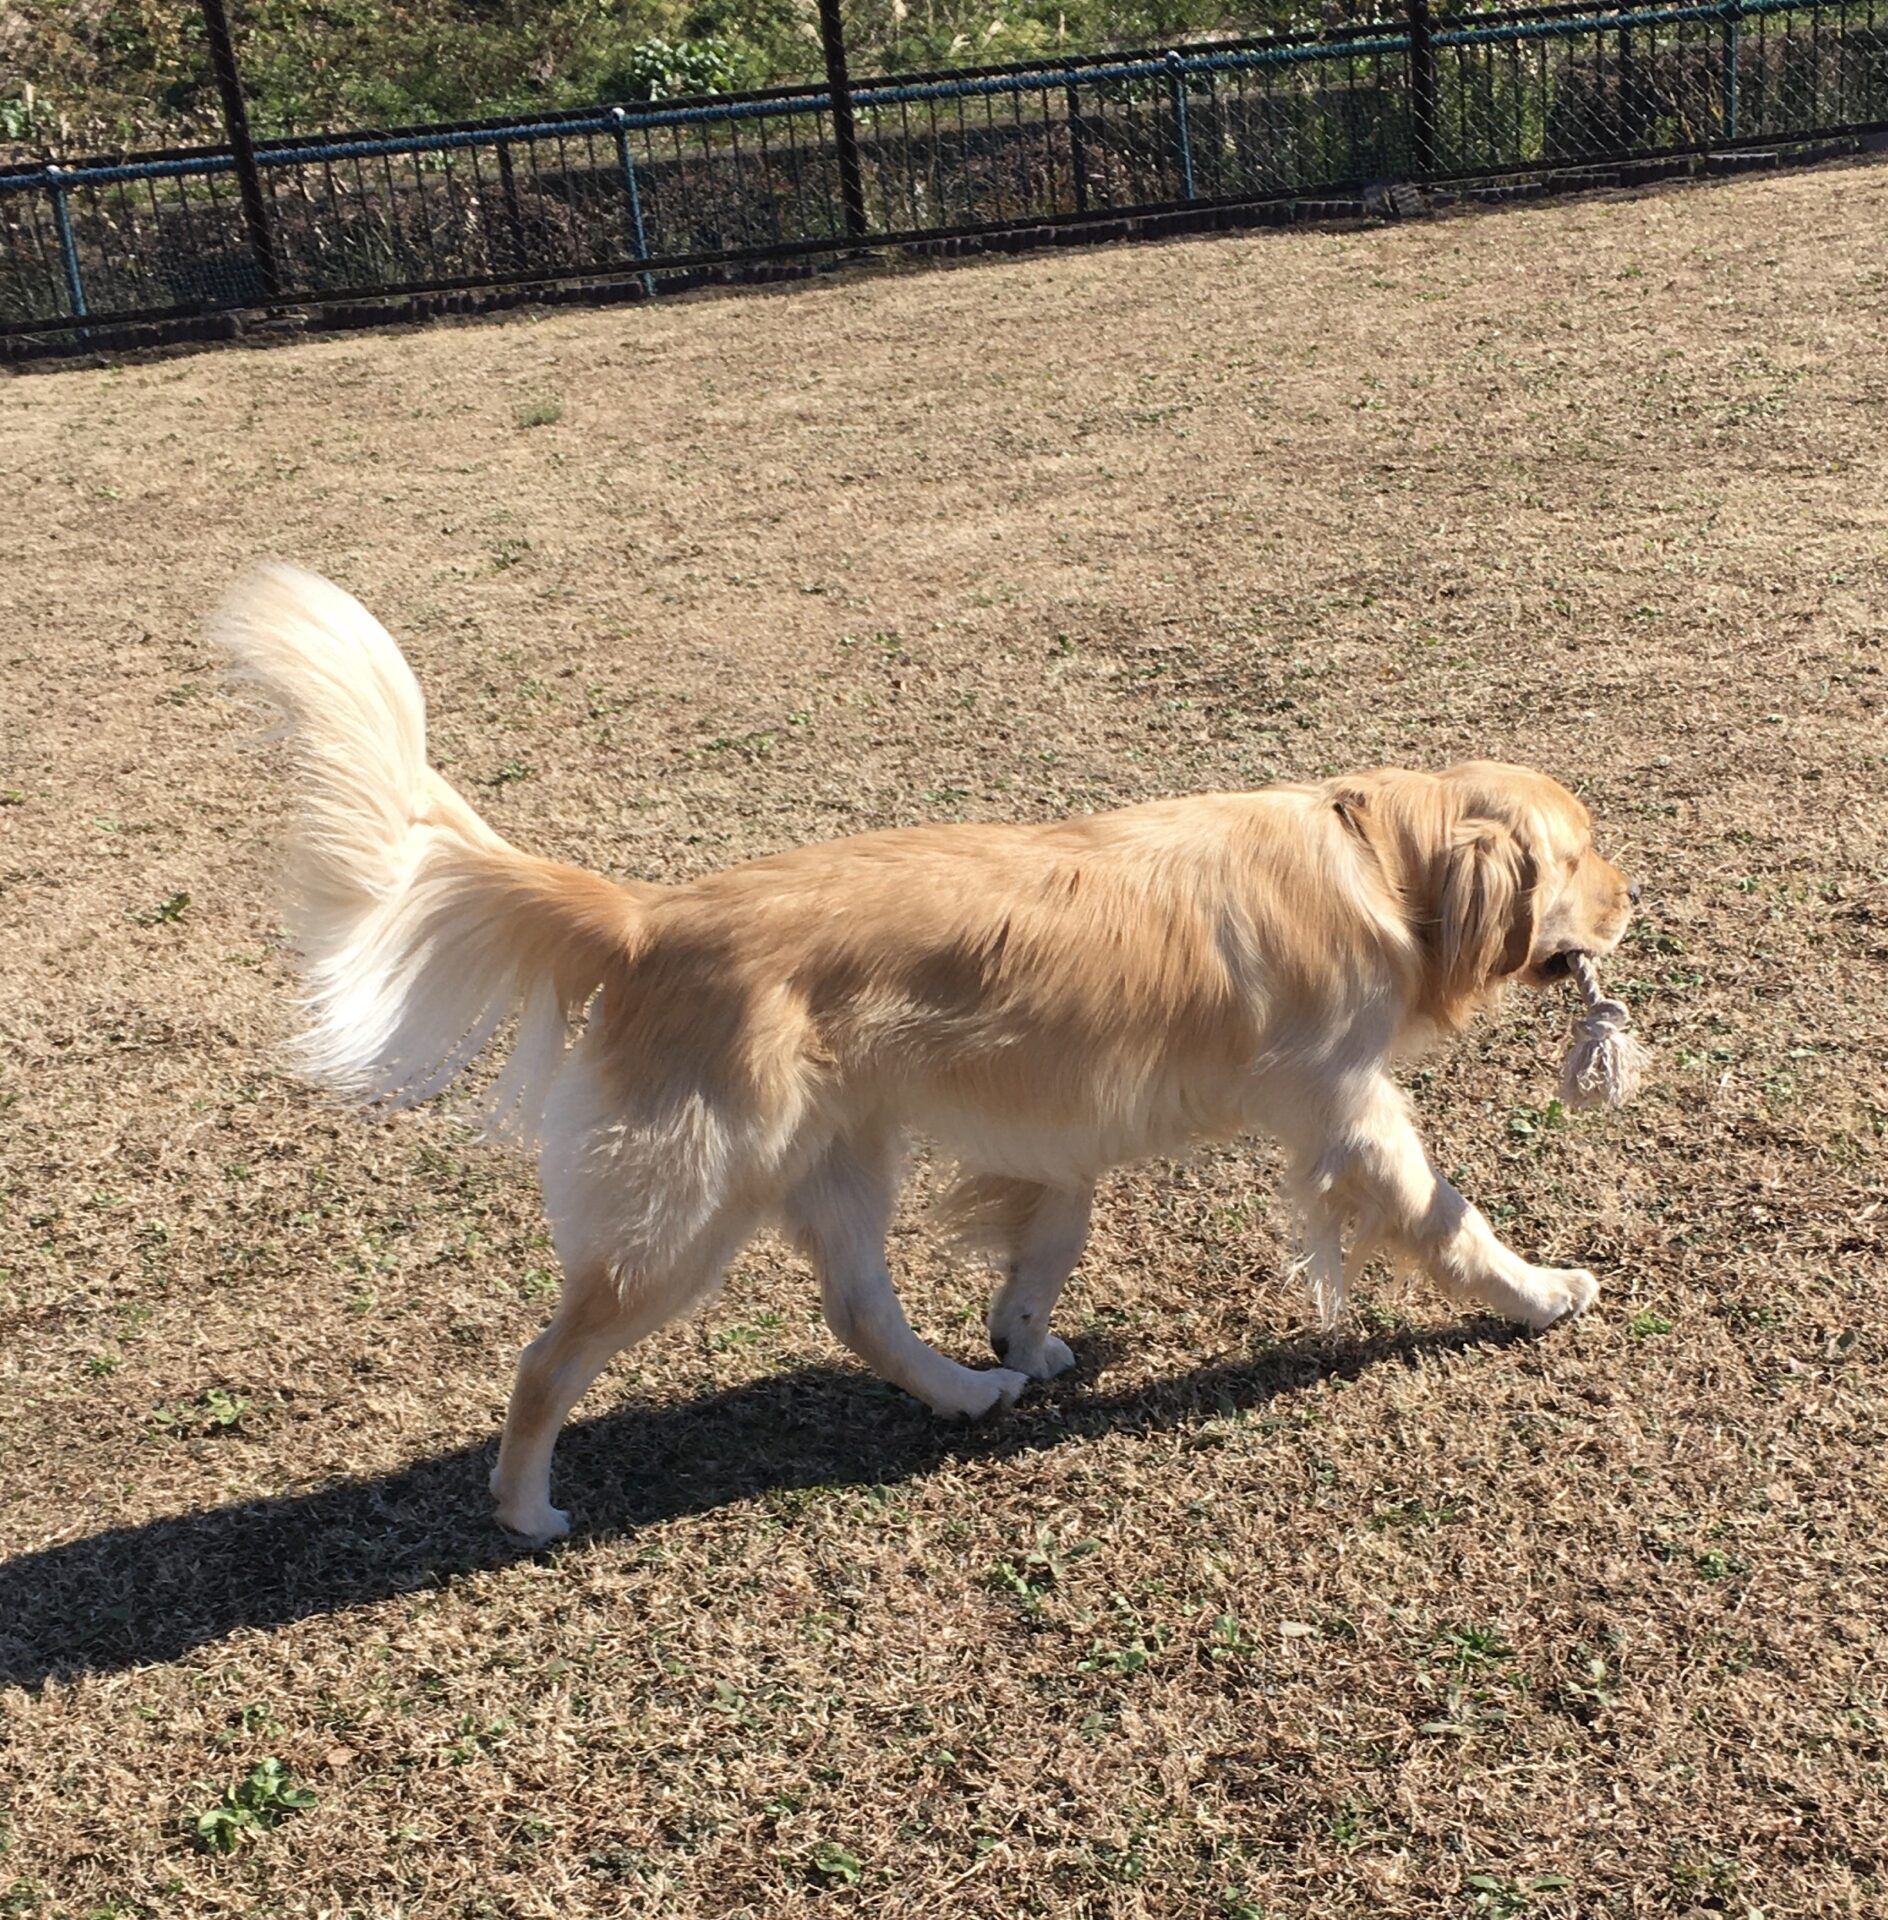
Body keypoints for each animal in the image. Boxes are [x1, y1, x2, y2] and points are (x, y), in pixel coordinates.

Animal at [218, 565, 1635, 1540]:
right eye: (1583, 854)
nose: (1638, 903)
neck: (1376, 860)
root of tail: (643, 917)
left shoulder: (1065, 1127)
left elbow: (1044, 1248)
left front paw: (1023, 1343)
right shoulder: (1345, 1110)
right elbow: (1446, 1217)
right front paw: (1539, 1292)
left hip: (837, 1156)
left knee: (859, 1312)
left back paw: (960, 1393)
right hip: (689, 1206)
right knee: (548, 1361)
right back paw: (525, 1509)